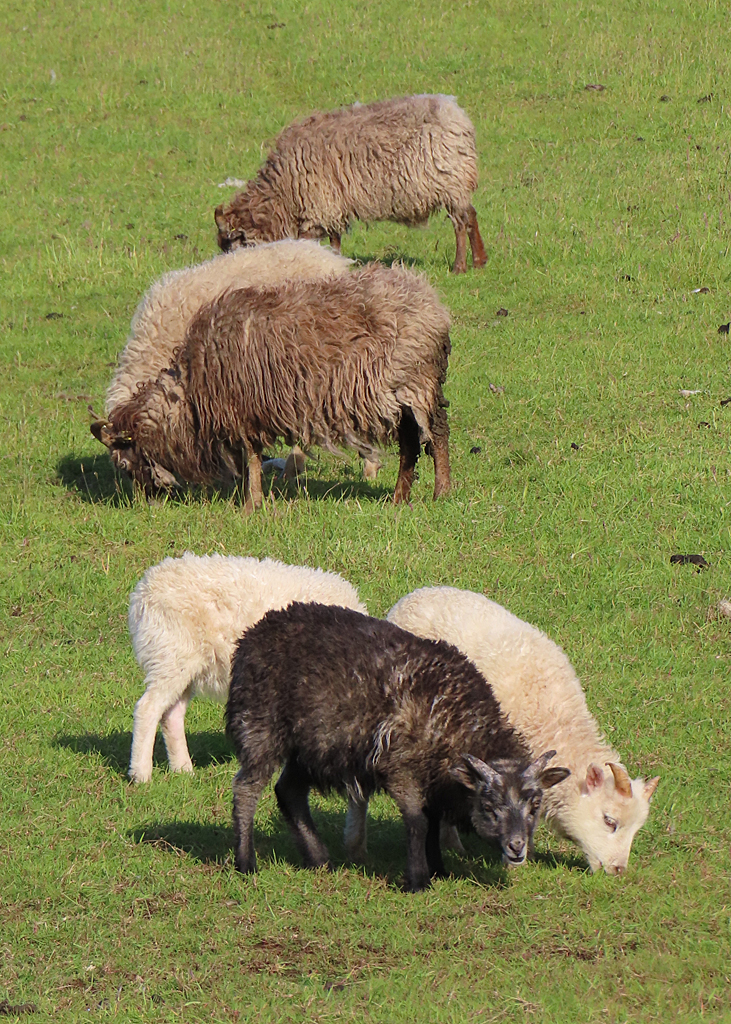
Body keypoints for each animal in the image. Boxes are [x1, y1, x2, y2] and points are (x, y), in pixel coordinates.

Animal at [91, 263, 452, 510]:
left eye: (125, 463)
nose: (146, 505)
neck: (190, 392)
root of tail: (430, 298)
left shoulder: (243, 413)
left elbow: (250, 458)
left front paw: (252, 503)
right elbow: (245, 461)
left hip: (417, 381)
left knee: (437, 433)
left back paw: (441, 492)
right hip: (399, 397)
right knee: (410, 442)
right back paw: (399, 497)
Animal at [127, 553, 367, 784]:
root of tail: (143, 591)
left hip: (184, 665)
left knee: (172, 714)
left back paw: (183, 770)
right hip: (171, 656)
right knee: (148, 709)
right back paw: (141, 774)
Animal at [214, 94, 487, 274]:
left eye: (234, 245)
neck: (281, 193)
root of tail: (458, 117)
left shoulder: (318, 206)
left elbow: (309, 241)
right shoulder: (333, 207)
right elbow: (335, 240)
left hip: (450, 183)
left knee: (460, 223)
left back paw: (460, 266)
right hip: (458, 185)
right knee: (471, 215)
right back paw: (480, 260)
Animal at [226, 602, 570, 891]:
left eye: (535, 805)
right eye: (488, 805)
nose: (517, 848)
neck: (457, 721)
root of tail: (256, 630)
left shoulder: (435, 777)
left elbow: (432, 821)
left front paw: (438, 868)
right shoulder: (399, 766)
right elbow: (418, 821)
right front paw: (418, 880)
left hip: (318, 745)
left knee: (289, 791)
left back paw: (319, 858)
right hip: (260, 722)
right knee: (247, 788)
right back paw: (246, 861)